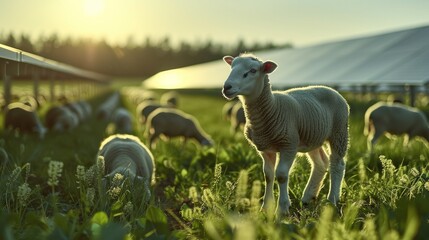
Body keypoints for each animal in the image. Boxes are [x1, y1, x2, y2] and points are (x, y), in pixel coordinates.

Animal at [222, 54, 350, 216]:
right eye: (231, 67)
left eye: (252, 71)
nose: (226, 87)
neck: (273, 107)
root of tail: (331, 89)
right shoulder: (265, 149)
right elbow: (268, 175)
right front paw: (266, 207)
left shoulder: (289, 145)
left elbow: (282, 175)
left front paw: (282, 209)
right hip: (313, 137)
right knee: (320, 163)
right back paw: (308, 197)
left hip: (339, 132)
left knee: (337, 164)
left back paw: (332, 200)